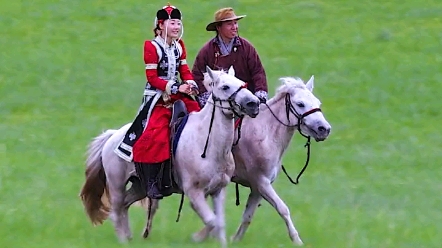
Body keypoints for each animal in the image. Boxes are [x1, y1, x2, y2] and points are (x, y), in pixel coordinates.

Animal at [79, 66, 260, 246]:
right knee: (116, 211)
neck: (207, 145)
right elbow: (212, 221)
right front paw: (197, 237)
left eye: (241, 82)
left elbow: (219, 223)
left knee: (124, 205)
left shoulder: (218, 190)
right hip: (116, 184)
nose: (254, 104)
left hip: (140, 186)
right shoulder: (193, 192)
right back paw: (123, 240)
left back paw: (129, 236)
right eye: (225, 87)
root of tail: (112, 136)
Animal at [145, 74, 332, 245]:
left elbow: (247, 216)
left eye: (318, 103)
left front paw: (233, 239)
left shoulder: (257, 188)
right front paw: (297, 240)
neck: (265, 133)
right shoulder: (261, 182)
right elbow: (283, 208)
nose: (324, 129)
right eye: (300, 104)